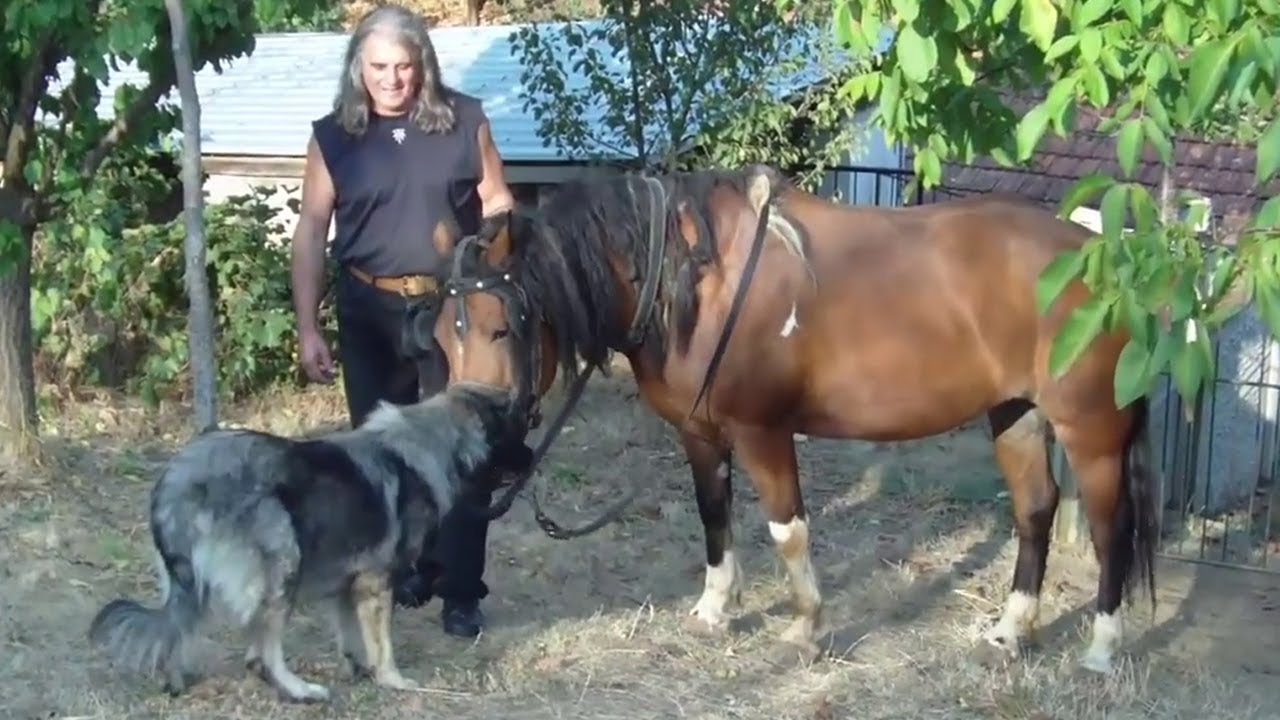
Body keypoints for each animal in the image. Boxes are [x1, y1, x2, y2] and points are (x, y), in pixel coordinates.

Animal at [85, 384, 532, 696]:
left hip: (196, 581)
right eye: (516, 432)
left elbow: (351, 634)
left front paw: (359, 669)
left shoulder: (348, 584)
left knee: (185, 629)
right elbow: (382, 641)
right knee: (263, 651)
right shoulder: (376, 581)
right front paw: (391, 678)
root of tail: (177, 482)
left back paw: (178, 680)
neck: (428, 443)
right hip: (283, 562)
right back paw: (299, 689)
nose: (531, 460)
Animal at [430, 162, 1162, 671]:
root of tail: (1110, 261)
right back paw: (1010, 631)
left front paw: (806, 627)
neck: (697, 283)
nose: (472, 439)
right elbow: (714, 517)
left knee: (1111, 532)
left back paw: (1102, 647)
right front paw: (714, 611)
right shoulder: (699, 434)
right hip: (1016, 415)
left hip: (1091, 436)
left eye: (501, 328)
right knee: (1035, 511)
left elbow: (787, 531)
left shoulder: (763, 432)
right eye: (440, 335)